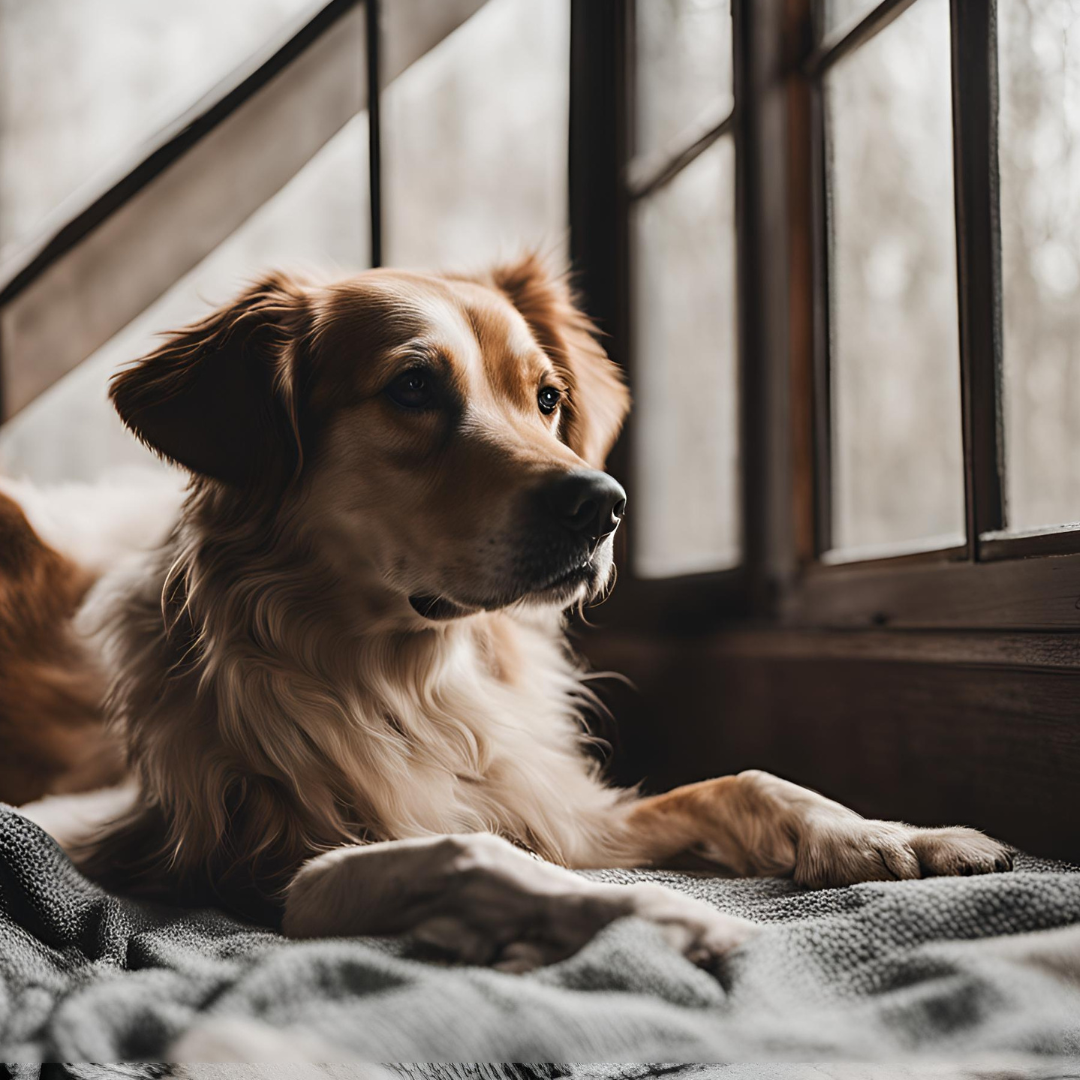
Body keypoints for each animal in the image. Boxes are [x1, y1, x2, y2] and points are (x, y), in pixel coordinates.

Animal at [6, 254, 1010, 972]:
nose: (602, 505)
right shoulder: (242, 864)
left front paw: (890, 836)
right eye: (413, 388)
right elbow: (469, 852)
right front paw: (659, 915)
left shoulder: (559, 804)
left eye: (548, 398)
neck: (414, 681)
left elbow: (748, 783)